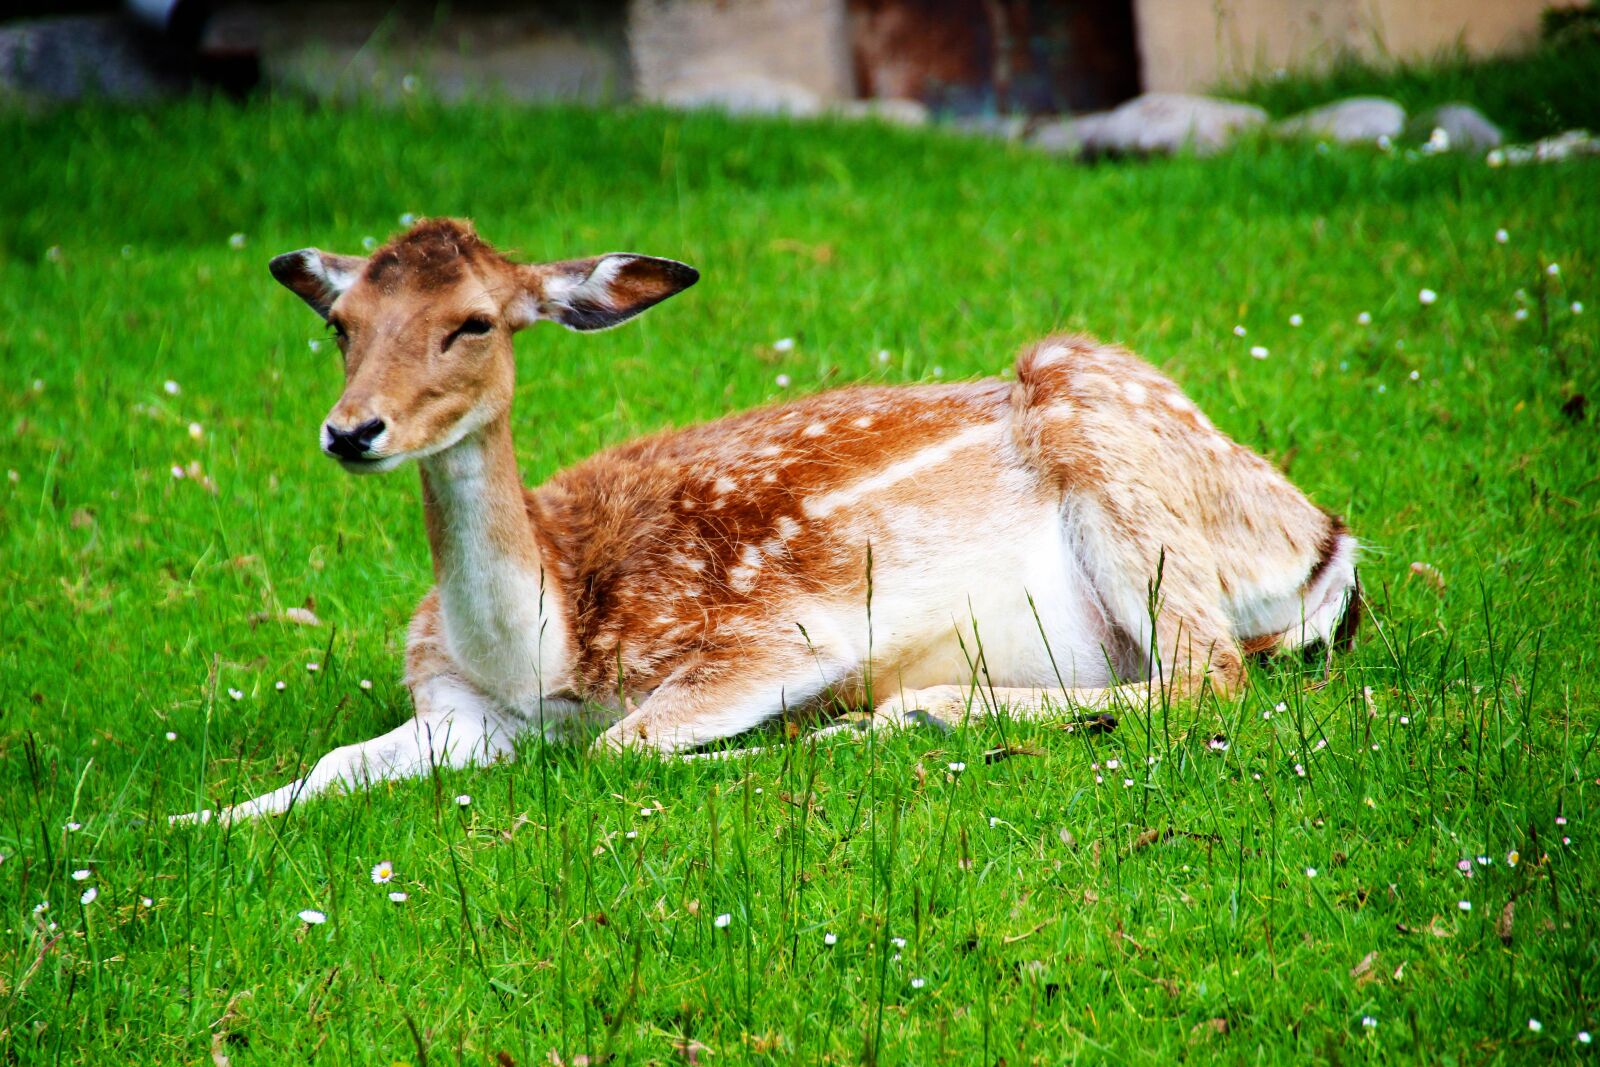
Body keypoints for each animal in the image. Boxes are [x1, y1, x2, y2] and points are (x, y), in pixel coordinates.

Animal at [174, 218, 1358, 825]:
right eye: (342, 321)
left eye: (472, 322)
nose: (351, 429)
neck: (542, 648)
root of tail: (1327, 544)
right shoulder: (460, 712)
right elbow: (331, 765)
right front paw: (187, 824)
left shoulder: (772, 636)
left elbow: (627, 747)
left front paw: (776, 746)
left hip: (1126, 489)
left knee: (1207, 673)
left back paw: (897, 717)